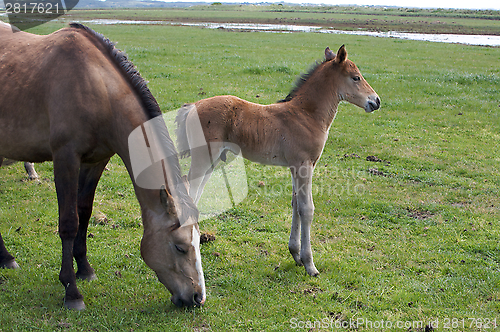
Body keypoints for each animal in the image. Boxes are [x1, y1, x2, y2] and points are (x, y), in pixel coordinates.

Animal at [0, 22, 205, 308]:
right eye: (180, 246)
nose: (198, 297)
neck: (97, 87)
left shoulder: (96, 161)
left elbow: (84, 213)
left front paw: (85, 270)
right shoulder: (65, 158)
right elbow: (69, 222)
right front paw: (71, 291)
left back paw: (5, 258)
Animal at [178, 44, 380, 278]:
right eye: (356, 77)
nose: (376, 101)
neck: (306, 115)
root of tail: (192, 106)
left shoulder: (295, 167)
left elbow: (295, 204)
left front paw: (296, 255)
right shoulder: (304, 165)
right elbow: (307, 209)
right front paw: (310, 264)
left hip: (210, 162)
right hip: (203, 159)